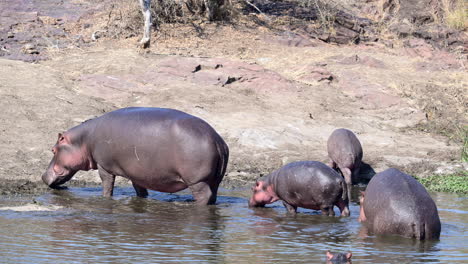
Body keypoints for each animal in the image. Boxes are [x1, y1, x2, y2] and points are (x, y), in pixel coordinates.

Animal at [42, 106, 229, 204]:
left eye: (53, 149)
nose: (43, 176)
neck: (84, 140)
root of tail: (217, 140)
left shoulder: (104, 167)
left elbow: (107, 186)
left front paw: (104, 199)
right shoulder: (137, 173)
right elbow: (140, 190)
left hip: (197, 181)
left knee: (204, 195)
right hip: (215, 180)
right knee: (213, 195)